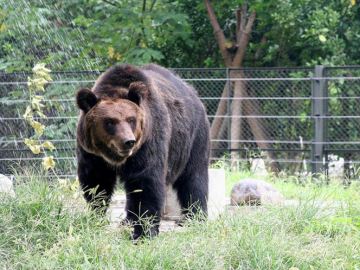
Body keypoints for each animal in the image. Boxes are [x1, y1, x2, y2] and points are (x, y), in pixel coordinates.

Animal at [76, 64, 211, 239]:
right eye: (110, 121)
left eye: (131, 120)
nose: (128, 141)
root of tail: (193, 93)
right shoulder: (93, 154)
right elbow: (97, 183)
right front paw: (96, 216)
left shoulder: (148, 142)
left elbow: (146, 182)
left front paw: (143, 233)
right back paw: (127, 221)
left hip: (193, 138)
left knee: (194, 176)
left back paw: (194, 217)